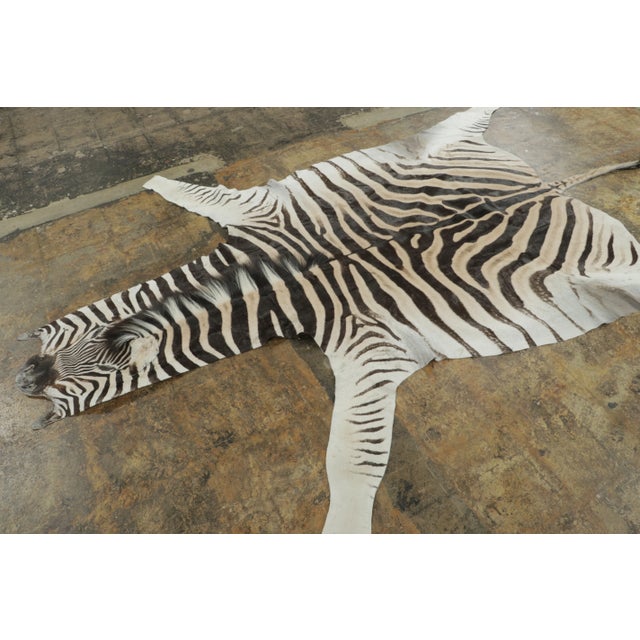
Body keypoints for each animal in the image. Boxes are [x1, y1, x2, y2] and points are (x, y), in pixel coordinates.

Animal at [15, 107, 640, 533]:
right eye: (52, 360)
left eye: (98, 376)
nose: (21, 381)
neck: (284, 278)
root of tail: (545, 184)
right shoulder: (258, 217)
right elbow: (198, 194)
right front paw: (155, 180)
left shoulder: (370, 346)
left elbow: (350, 461)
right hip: (442, 144)